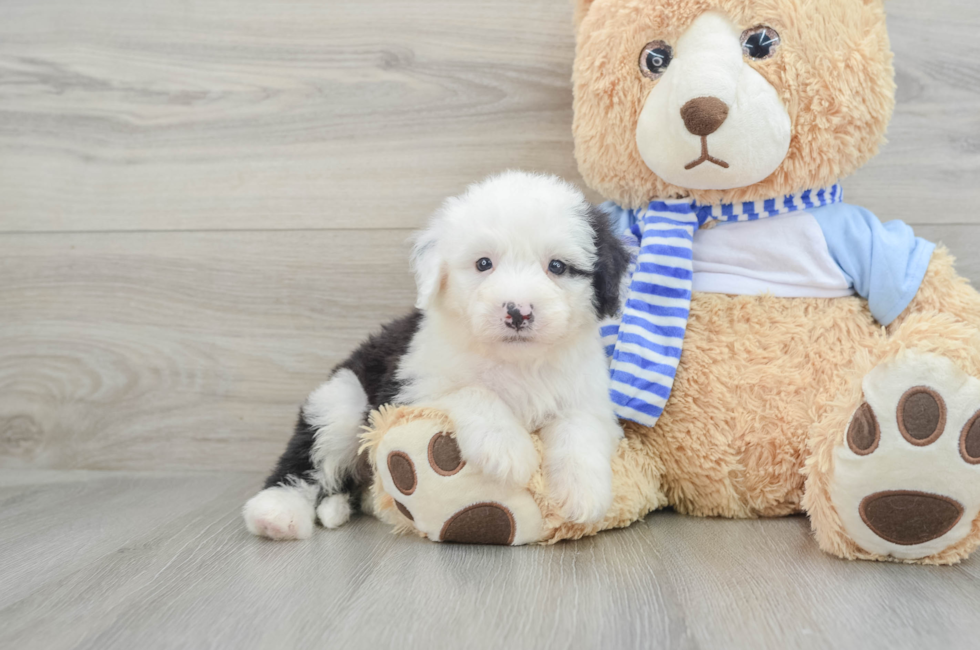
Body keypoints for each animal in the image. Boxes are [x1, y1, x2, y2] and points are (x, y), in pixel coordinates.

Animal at [243, 171, 628, 536]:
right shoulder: (409, 387)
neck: (516, 361)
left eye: (558, 266)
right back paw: (276, 513)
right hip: (343, 399)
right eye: (483, 263)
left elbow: (580, 426)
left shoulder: (586, 392)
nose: (518, 312)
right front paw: (506, 448)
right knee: (307, 458)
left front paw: (584, 493)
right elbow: (470, 390)